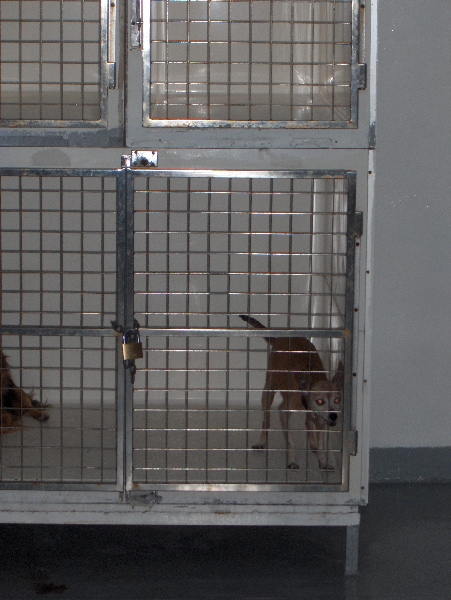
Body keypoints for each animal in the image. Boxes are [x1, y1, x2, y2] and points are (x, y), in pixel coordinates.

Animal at [242, 316, 344, 472]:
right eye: (320, 401)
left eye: (337, 400)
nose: (333, 415)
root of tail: (281, 338)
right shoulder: (284, 412)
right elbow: (290, 441)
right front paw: (292, 461)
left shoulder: (321, 420)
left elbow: (320, 444)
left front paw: (322, 462)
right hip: (268, 392)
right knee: (266, 420)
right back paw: (262, 441)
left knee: (308, 424)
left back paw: (312, 443)